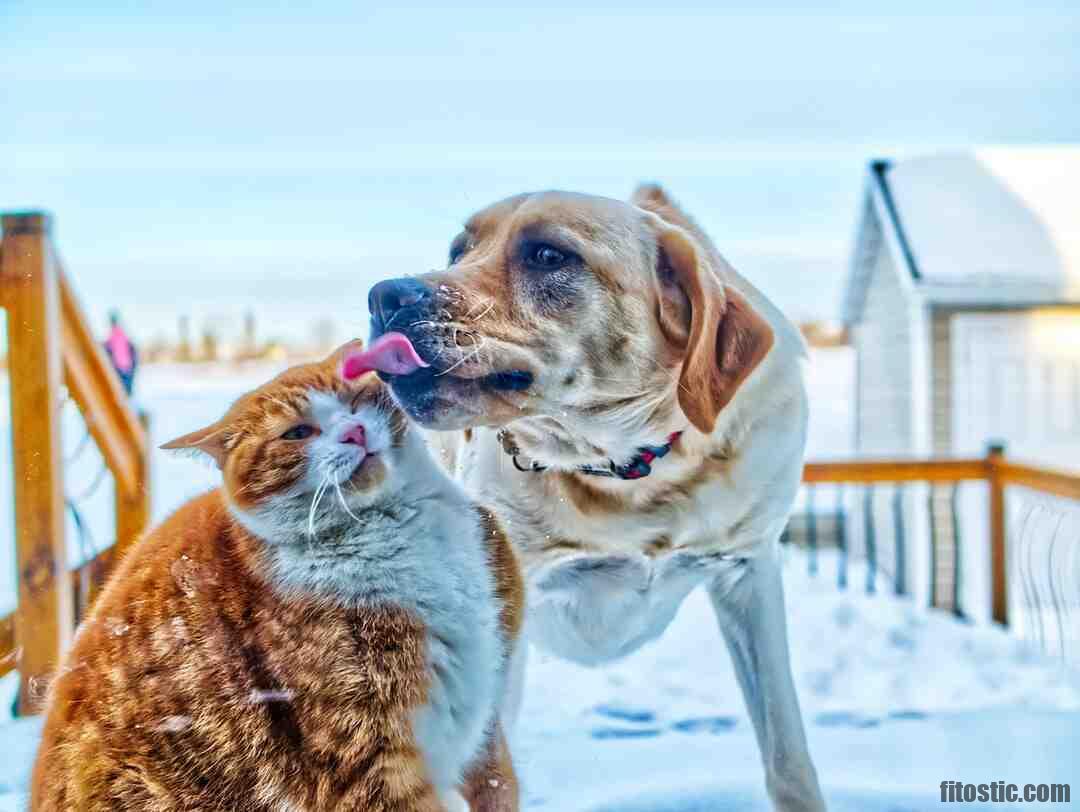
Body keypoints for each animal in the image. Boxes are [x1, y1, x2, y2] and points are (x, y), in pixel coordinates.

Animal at [31, 339, 520, 807]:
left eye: (354, 398)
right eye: (298, 433)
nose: (355, 431)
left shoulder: (485, 728)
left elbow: (498, 783)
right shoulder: (367, 758)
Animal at [369, 186, 825, 807]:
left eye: (548, 255)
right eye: (459, 250)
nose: (383, 296)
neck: (627, 474)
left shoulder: (748, 572)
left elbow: (786, 753)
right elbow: (491, 776)